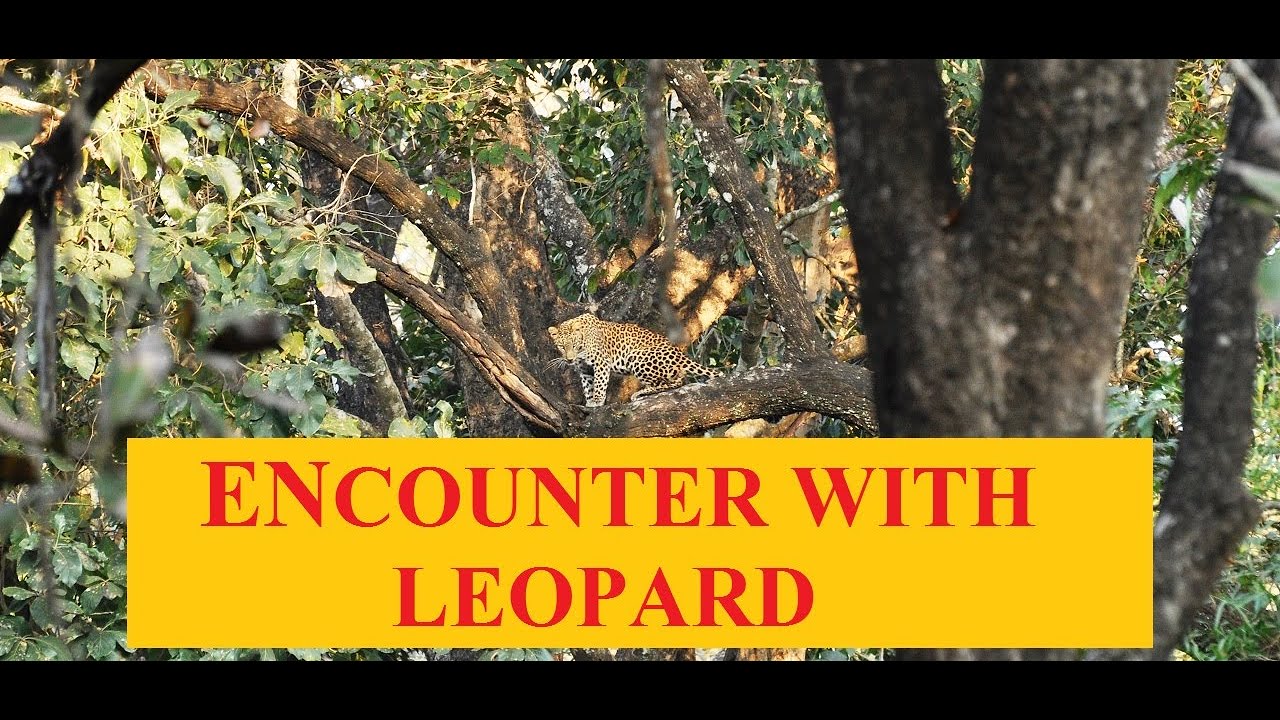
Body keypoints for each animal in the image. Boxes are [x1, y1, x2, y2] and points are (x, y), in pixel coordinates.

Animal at [546, 313, 722, 408]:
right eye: (562, 346)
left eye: (574, 345)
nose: (569, 359)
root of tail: (680, 355)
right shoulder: (584, 369)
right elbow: (588, 385)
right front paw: (590, 402)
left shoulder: (601, 362)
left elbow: (600, 384)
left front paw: (597, 400)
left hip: (637, 356)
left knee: (669, 383)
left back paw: (640, 393)